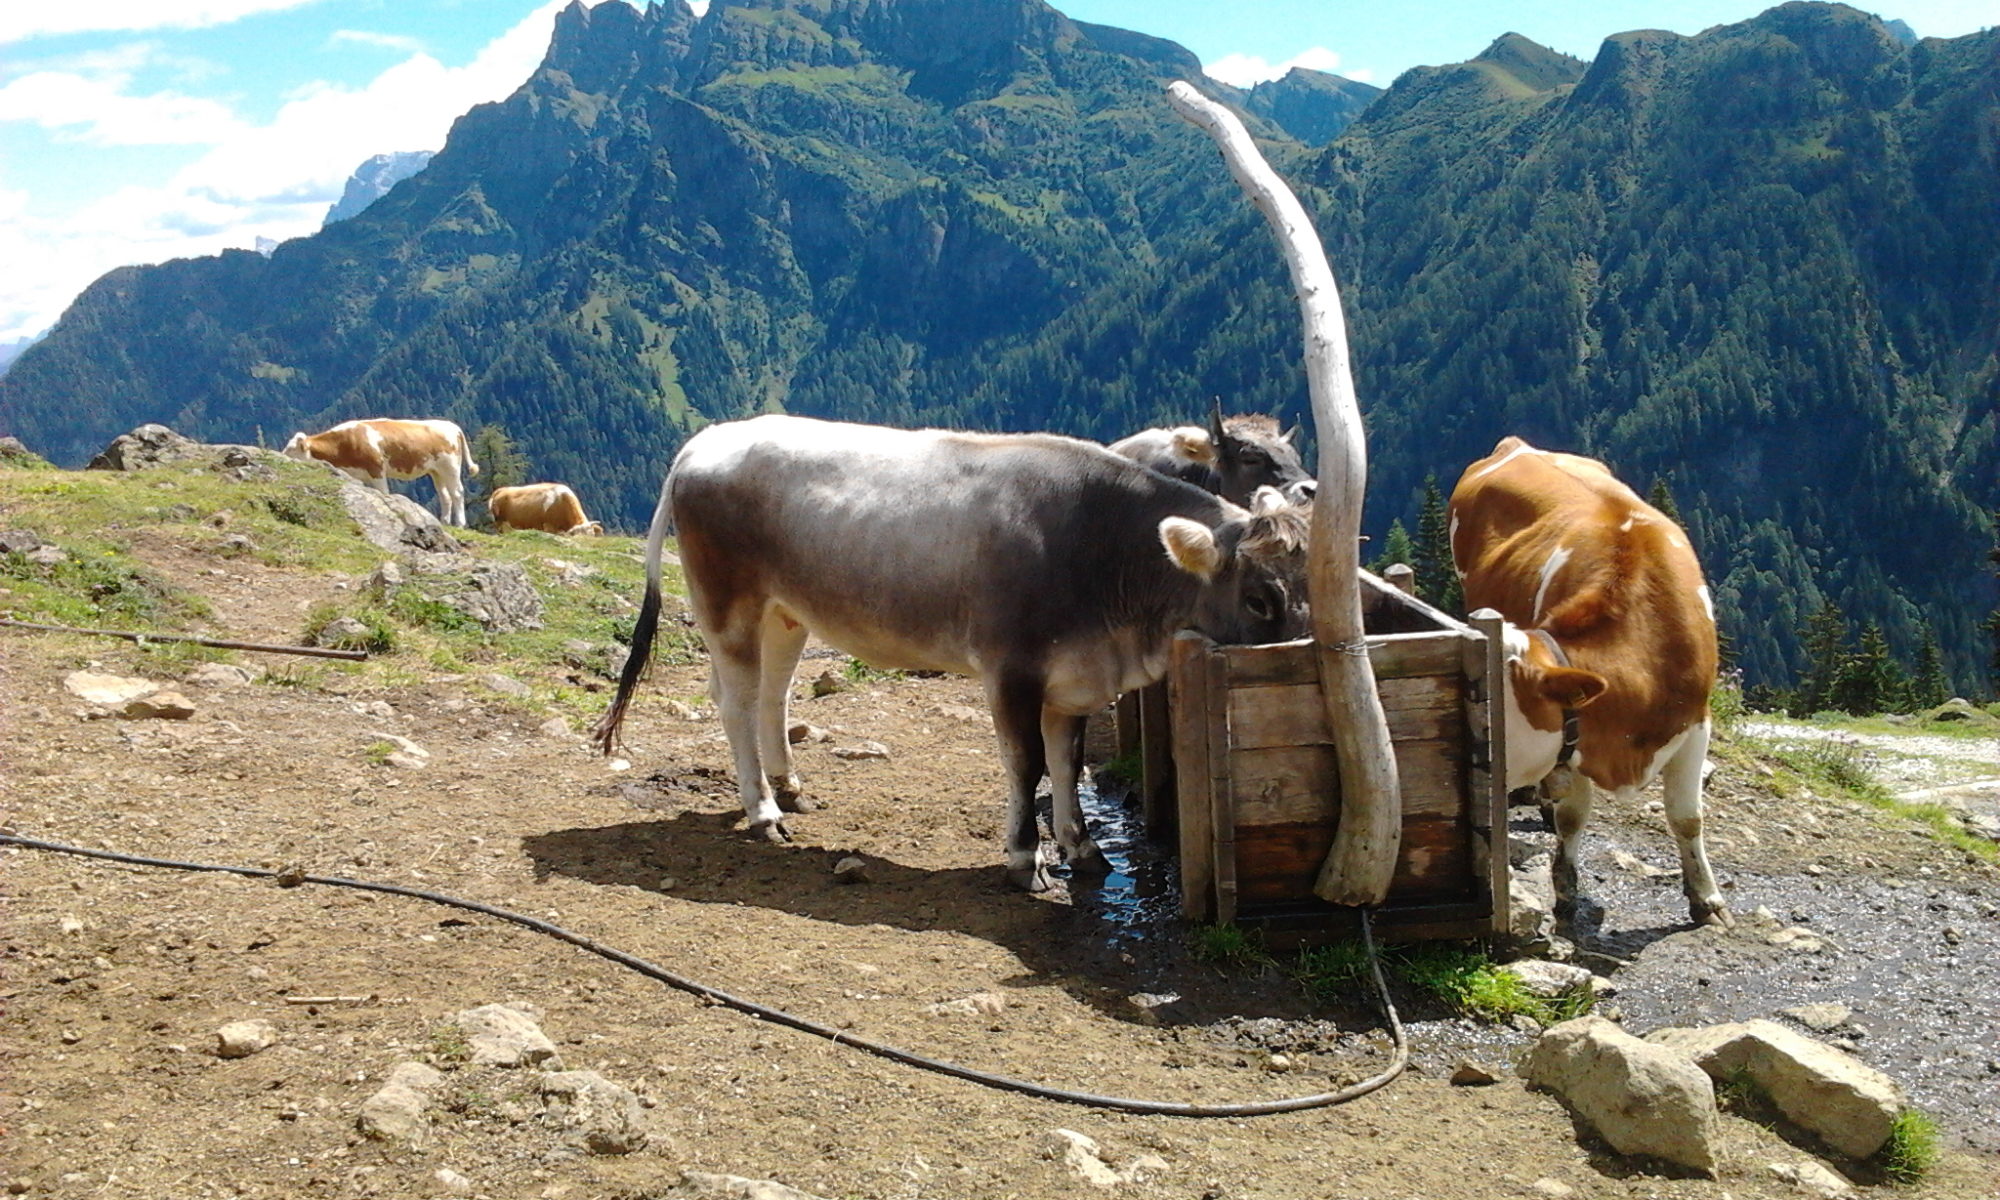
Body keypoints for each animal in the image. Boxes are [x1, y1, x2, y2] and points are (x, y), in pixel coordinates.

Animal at [282, 420, 480, 528]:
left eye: (291, 450)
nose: (280, 455)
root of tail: (451, 426)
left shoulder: (376, 470)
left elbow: (383, 494)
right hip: (436, 471)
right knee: (445, 496)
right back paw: (445, 521)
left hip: (450, 467)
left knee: (457, 493)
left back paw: (460, 523)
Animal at [592, 412, 1312, 892]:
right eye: (1260, 600)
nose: (1296, 664)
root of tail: (705, 441)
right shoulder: (1012, 670)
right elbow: (1028, 766)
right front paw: (1026, 859)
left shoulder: (1075, 674)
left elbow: (1067, 761)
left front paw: (1082, 847)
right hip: (729, 602)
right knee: (737, 702)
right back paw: (763, 810)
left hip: (785, 611)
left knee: (771, 693)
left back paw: (788, 786)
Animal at [1448, 434, 1728, 928]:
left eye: (1490, 719)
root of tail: (1519, 444)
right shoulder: (1576, 737)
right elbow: (1574, 817)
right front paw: (1566, 891)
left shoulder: (1697, 724)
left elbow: (1687, 817)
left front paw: (1706, 898)